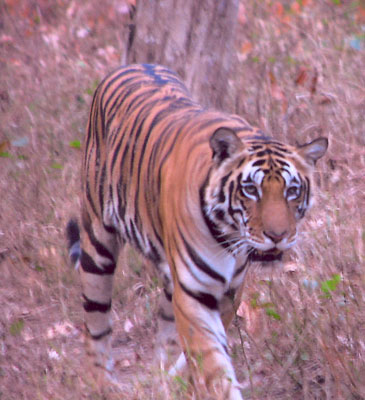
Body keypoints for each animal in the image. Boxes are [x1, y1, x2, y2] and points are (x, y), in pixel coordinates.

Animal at [67, 64, 328, 398]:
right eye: (251, 190)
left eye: (292, 191)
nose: (278, 236)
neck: (230, 239)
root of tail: (132, 65)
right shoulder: (195, 292)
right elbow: (212, 361)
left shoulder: (229, 292)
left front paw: (179, 382)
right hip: (98, 243)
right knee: (96, 320)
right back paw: (102, 383)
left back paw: (161, 379)